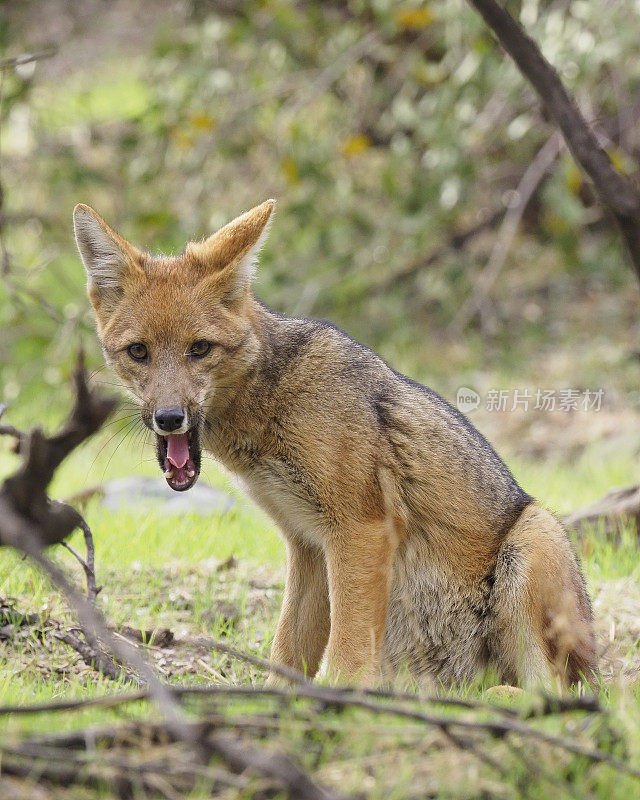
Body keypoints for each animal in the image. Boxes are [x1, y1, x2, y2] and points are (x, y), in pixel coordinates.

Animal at [72, 198, 596, 688]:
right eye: (138, 352)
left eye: (199, 348)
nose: (169, 418)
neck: (273, 404)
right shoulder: (306, 542)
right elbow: (288, 649)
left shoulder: (359, 528)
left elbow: (346, 650)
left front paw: (341, 705)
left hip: (536, 534)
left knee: (555, 693)